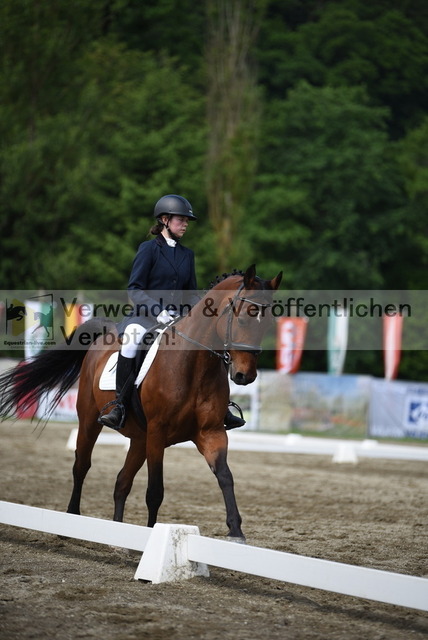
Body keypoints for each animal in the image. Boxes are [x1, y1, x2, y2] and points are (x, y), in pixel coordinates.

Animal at [0, 264, 282, 540]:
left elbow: (225, 476)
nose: (245, 376)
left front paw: (236, 531)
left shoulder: (211, 432)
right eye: (243, 318)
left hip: (139, 438)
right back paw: (70, 522)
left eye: (268, 324)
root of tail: (106, 334)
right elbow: (155, 490)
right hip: (90, 421)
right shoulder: (158, 433)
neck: (194, 367)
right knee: (81, 466)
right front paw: (151, 534)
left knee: (121, 481)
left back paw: (118, 536)